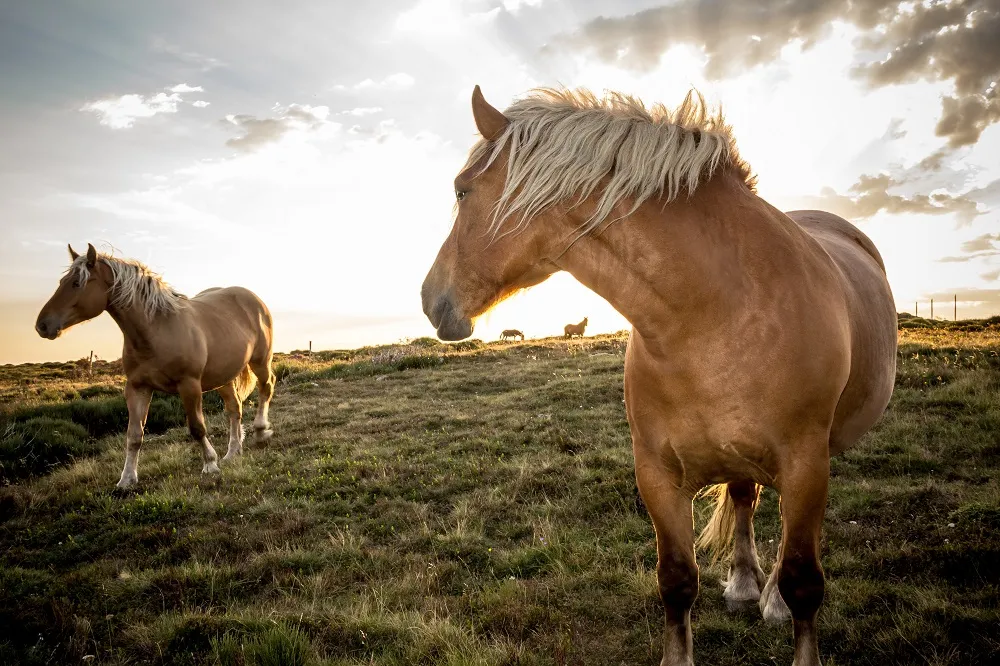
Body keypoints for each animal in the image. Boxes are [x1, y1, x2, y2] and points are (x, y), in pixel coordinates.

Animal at [36, 244, 276, 488]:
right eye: (62, 282)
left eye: (77, 283)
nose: (42, 325)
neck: (156, 330)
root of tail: (252, 298)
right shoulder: (137, 388)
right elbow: (134, 436)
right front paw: (127, 478)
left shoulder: (189, 386)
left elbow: (197, 427)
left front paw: (210, 463)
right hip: (223, 376)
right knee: (234, 408)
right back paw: (233, 451)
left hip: (260, 361)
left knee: (266, 387)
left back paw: (260, 431)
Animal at [422, 87, 900, 664]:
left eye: (461, 190)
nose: (429, 299)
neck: (714, 316)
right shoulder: (657, 475)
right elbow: (676, 581)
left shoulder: (806, 464)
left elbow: (803, 581)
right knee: (745, 498)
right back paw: (745, 584)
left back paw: (769, 598)